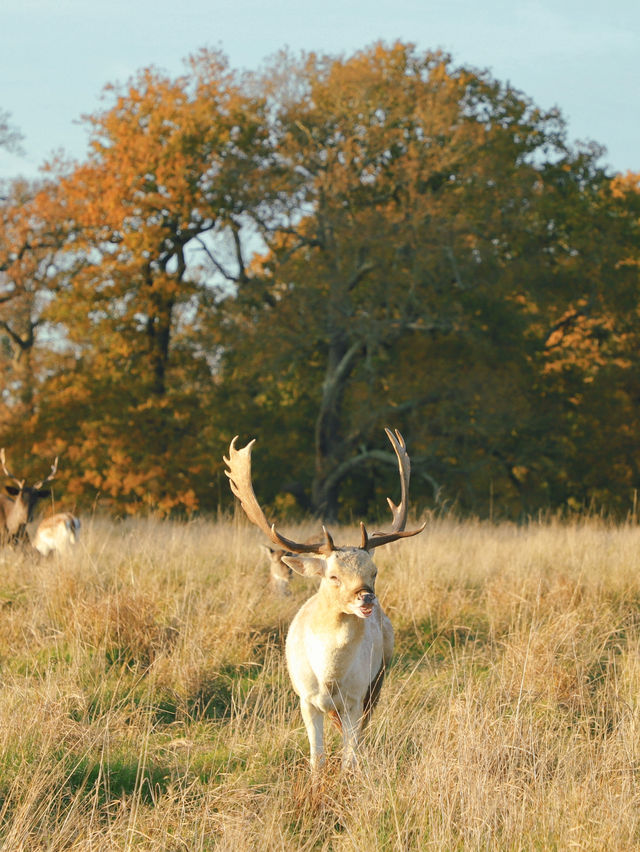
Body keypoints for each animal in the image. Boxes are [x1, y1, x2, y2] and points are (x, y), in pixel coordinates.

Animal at [224, 427, 425, 770]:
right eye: (332, 576)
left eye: (374, 571)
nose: (366, 598)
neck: (329, 677)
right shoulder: (306, 699)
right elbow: (316, 757)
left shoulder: (356, 698)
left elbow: (349, 756)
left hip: (379, 677)